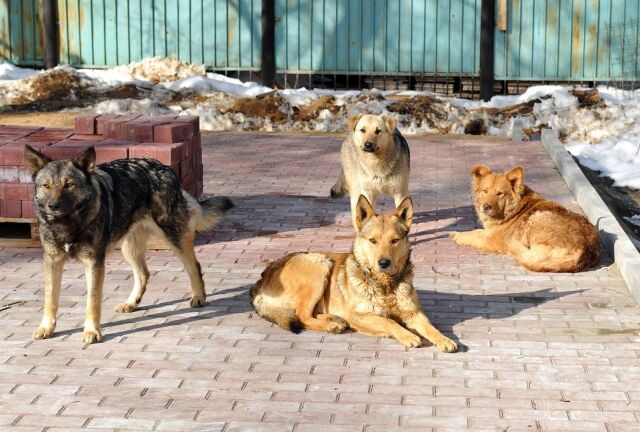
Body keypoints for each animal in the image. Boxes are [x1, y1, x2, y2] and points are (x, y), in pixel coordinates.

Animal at [26, 145, 235, 344]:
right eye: (46, 186)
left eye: (69, 185)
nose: (52, 206)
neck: (69, 224)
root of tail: (164, 168)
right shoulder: (52, 262)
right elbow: (50, 299)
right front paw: (46, 328)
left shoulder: (94, 263)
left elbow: (92, 302)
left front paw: (92, 331)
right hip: (129, 249)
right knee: (144, 274)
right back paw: (131, 303)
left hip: (174, 239)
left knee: (194, 266)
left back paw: (199, 297)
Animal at [249, 196, 456, 352]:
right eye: (373, 240)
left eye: (395, 241)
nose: (384, 263)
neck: (384, 285)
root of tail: (260, 281)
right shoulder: (360, 316)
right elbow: (388, 322)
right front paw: (407, 335)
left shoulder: (414, 312)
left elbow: (430, 327)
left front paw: (444, 339)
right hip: (319, 264)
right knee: (302, 316)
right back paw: (331, 325)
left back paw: (334, 319)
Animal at [450, 165, 600, 274]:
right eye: (485, 191)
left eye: (500, 194)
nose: (486, 207)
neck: (512, 211)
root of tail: (584, 250)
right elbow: (477, 231)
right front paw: (458, 233)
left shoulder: (493, 240)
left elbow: (476, 235)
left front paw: (460, 237)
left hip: (537, 217)